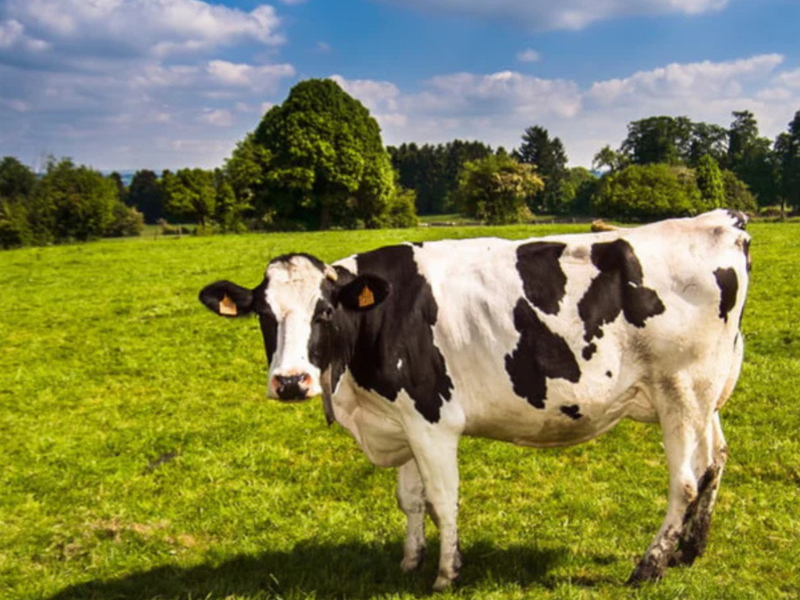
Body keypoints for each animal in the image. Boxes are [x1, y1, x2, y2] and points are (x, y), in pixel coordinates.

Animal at [198, 209, 750, 591]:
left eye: (325, 311)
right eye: (264, 315)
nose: (291, 381)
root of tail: (721, 221)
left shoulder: (431, 419)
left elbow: (442, 499)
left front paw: (446, 573)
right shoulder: (400, 419)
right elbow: (410, 499)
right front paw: (410, 561)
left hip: (681, 390)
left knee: (684, 481)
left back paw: (650, 565)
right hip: (705, 395)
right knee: (714, 461)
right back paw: (689, 550)